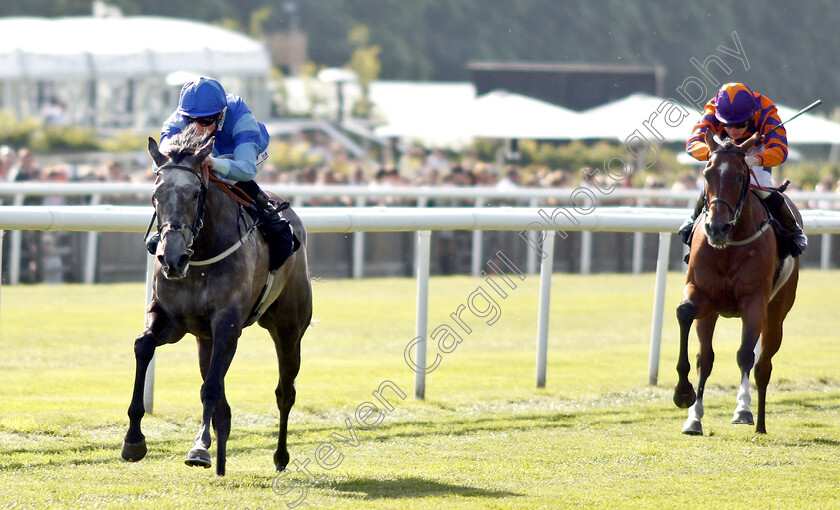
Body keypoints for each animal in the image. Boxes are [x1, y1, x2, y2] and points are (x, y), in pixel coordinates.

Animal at [120, 125, 312, 476]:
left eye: (196, 194)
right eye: (155, 195)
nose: (172, 258)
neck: (200, 257)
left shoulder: (227, 324)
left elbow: (209, 387)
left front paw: (198, 448)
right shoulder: (172, 320)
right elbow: (143, 346)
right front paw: (133, 440)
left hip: (289, 327)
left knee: (285, 390)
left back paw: (280, 456)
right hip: (204, 338)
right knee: (219, 390)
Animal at [672, 130, 796, 434]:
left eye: (740, 176)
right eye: (707, 174)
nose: (717, 228)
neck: (728, 245)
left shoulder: (754, 302)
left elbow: (745, 356)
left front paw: (742, 409)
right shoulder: (701, 294)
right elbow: (685, 314)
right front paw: (683, 393)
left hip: (777, 311)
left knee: (763, 365)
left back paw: (759, 422)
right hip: (712, 314)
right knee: (706, 358)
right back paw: (694, 418)